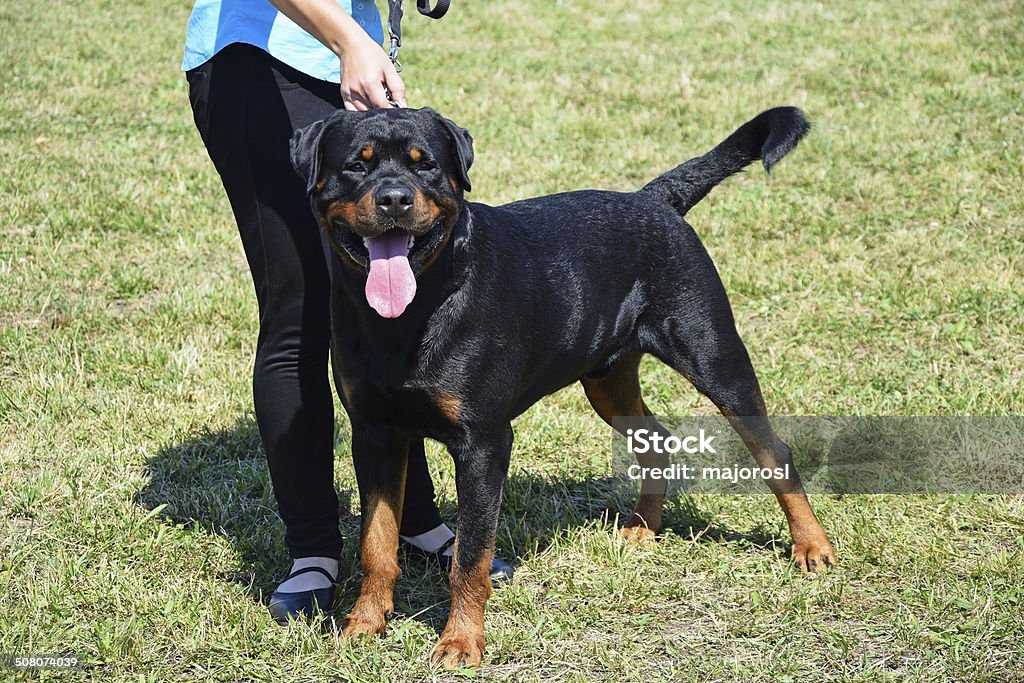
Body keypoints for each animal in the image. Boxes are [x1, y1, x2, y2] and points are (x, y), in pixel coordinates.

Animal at [292, 107, 835, 667]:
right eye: (357, 165)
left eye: (426, 167)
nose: (395, 198)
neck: (410, 312)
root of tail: (654, 199)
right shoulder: (375, 433)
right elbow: (376, 542)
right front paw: (364, 625)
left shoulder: (483, 442)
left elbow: (470, 557)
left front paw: (460, 642)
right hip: (606, 380)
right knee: (656, 441)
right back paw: (643, 527)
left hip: (715, 357)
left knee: (774, 452)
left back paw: (812, 547)